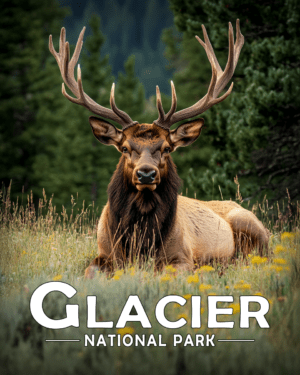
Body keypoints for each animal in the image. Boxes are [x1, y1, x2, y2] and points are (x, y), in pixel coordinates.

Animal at [49, 20, 270, 280]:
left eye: (166, 148)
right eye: (125, 148)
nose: (146, 173)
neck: (140, 241)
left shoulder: (183, 258)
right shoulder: (104, 252)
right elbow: (90, 272)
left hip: (251, 226)